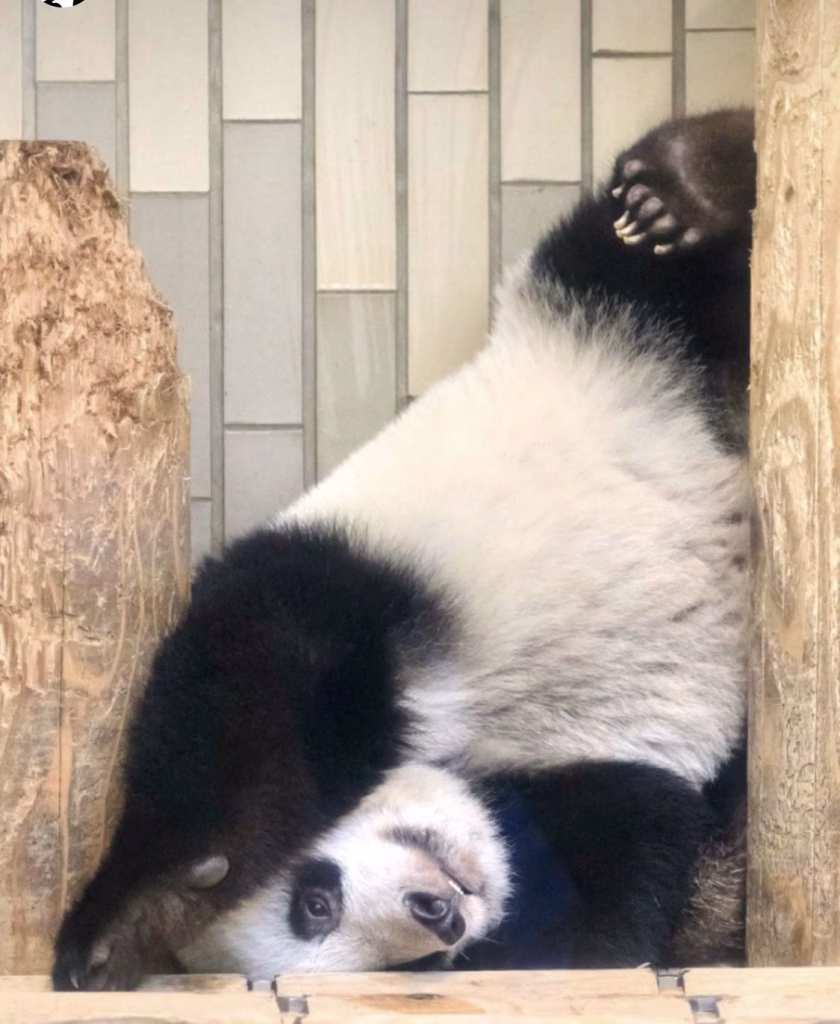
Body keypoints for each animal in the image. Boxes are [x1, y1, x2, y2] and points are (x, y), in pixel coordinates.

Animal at [52, 107, 755, 990]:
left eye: (313, 897)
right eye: (328, 924)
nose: (436, 913)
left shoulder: (338, 592)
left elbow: (240, 703)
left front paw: (132, 913)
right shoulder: (583, 776)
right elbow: (620, 883)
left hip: (610, 348)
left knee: (636, 264)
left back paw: (683, 186)